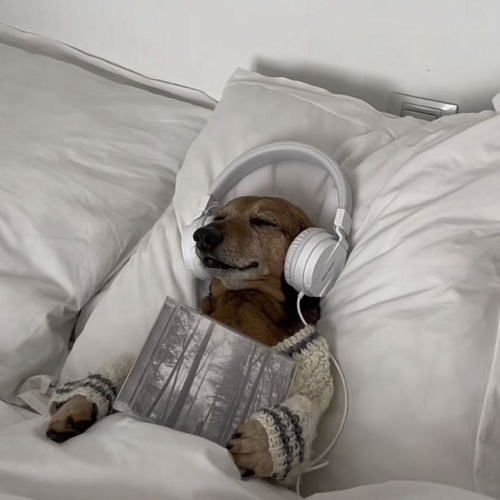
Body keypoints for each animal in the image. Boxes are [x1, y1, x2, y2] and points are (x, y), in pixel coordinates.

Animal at [47, 196, 320, 477]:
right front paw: (77, 404)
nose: (203, 235)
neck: (245, 299)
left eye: (264, 221)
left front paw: (263, 443)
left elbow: (309, 402)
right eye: (219, 217)